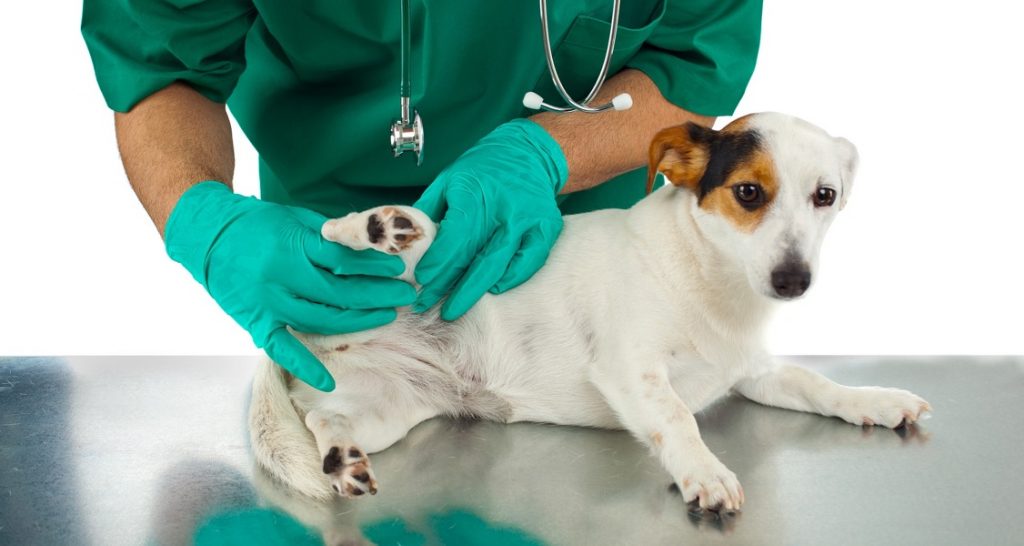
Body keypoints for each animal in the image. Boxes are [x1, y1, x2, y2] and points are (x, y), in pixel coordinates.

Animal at [247, 112, 929, 512]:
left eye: (825, 196)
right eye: (748, 192)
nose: (794, 280)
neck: (709, 279)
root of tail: (303, 338)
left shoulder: (754, 371)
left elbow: (818, 383)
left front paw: (876, 401)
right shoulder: (631, 370)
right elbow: (679, 420)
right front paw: (703, 471)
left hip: (387, 408)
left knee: (327, 420)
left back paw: (341, 461)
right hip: (402, 259)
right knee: (337, 236)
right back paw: (379, 226)